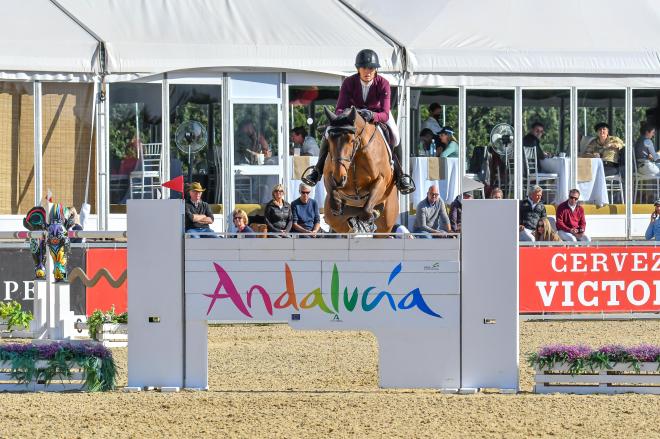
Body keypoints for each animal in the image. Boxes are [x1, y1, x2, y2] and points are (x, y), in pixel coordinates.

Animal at [320, 107, 398, 235]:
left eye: (351, 140)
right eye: (329, 140)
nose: (339, 178)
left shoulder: (381, 180)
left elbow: (366, 210)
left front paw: (369, 219)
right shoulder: (328, 175)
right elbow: (333, 194)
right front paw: (338, 204)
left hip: (386, 226)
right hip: (336, 222)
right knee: (341, 224)